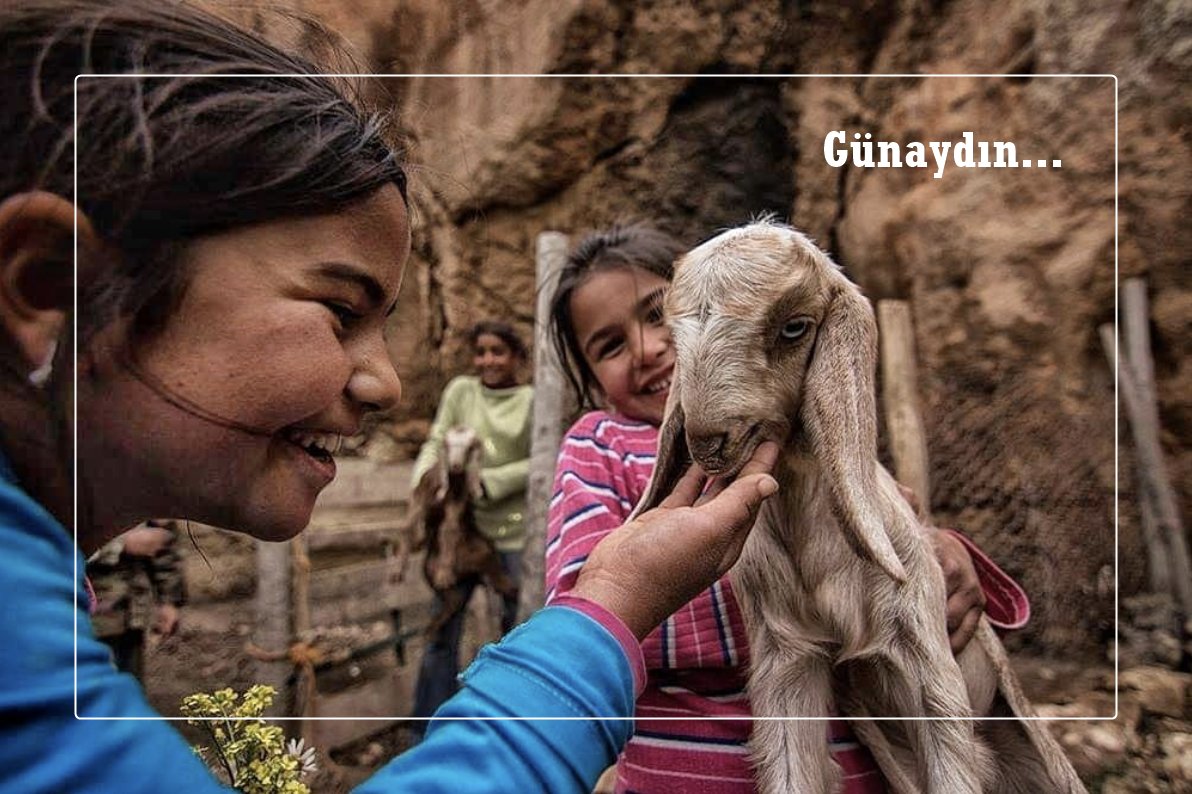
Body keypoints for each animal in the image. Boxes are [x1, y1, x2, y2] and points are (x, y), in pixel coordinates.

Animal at [407, 424, 514, 634]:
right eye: (447, 446)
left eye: (470, 448)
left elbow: (449, 527)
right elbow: (414, 523)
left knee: (496, 580)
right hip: (430, 570)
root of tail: (469, 571)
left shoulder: (457, 501)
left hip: (486, 556)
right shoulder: (422, 498)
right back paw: (430, 629)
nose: (455, 466)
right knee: (452, 601)